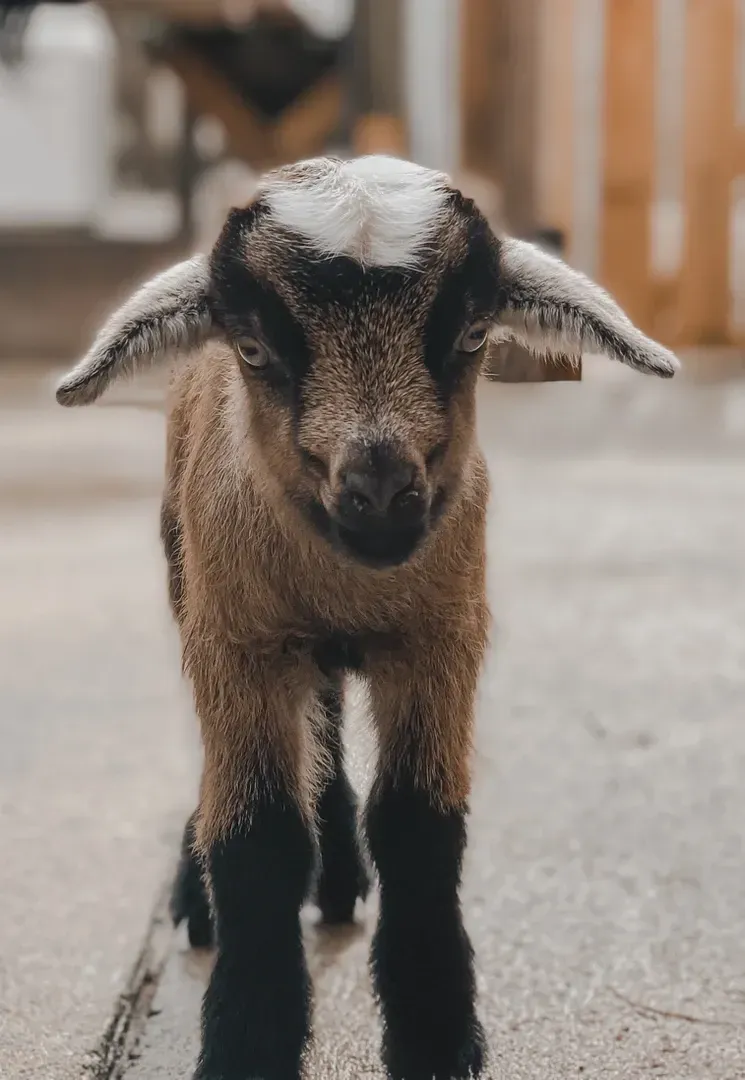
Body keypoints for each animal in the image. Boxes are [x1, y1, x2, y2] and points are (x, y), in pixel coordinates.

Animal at [56, 154, 678, 1080]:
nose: (380, 493)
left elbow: (418, 827)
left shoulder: (440, 636)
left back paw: (342, 876)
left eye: (471, 335)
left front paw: (433, 1034)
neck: (347, 583)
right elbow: (256, 838)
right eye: (252, 348)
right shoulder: (237, 643)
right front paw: (248, 1038)